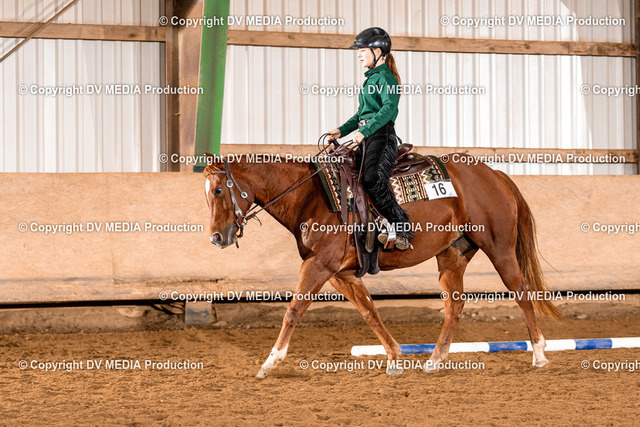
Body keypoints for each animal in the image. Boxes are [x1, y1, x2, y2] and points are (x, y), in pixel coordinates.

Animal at [202, 151, 561, 378]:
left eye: (218, 190)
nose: (217, 237)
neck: (311, 196)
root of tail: (494, 173)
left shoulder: (319, 266)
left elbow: (293, 310)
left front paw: (270, 362)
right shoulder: (341, 274)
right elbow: (369, 312)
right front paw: (394, 358)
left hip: (500, 249)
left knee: (522, 293)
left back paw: (539, 354)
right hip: (453, 253)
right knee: (454, 305)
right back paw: (435, 360)